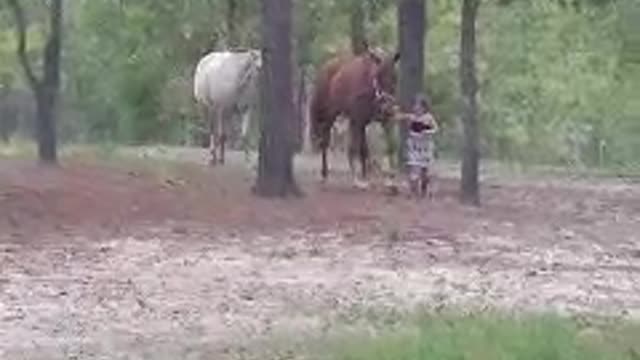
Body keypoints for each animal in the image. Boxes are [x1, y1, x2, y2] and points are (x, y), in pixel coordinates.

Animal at [310, 48, 400, 188]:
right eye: (378, 76)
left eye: (395, 77)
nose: (387, 107)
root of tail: (326, 66)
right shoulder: (359, 120)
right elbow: (357, 148)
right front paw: (358, 180)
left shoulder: (383, 121)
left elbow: (390, 146)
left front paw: (390, 179)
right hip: (331, 115)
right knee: (325, 141)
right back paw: (324, 174)